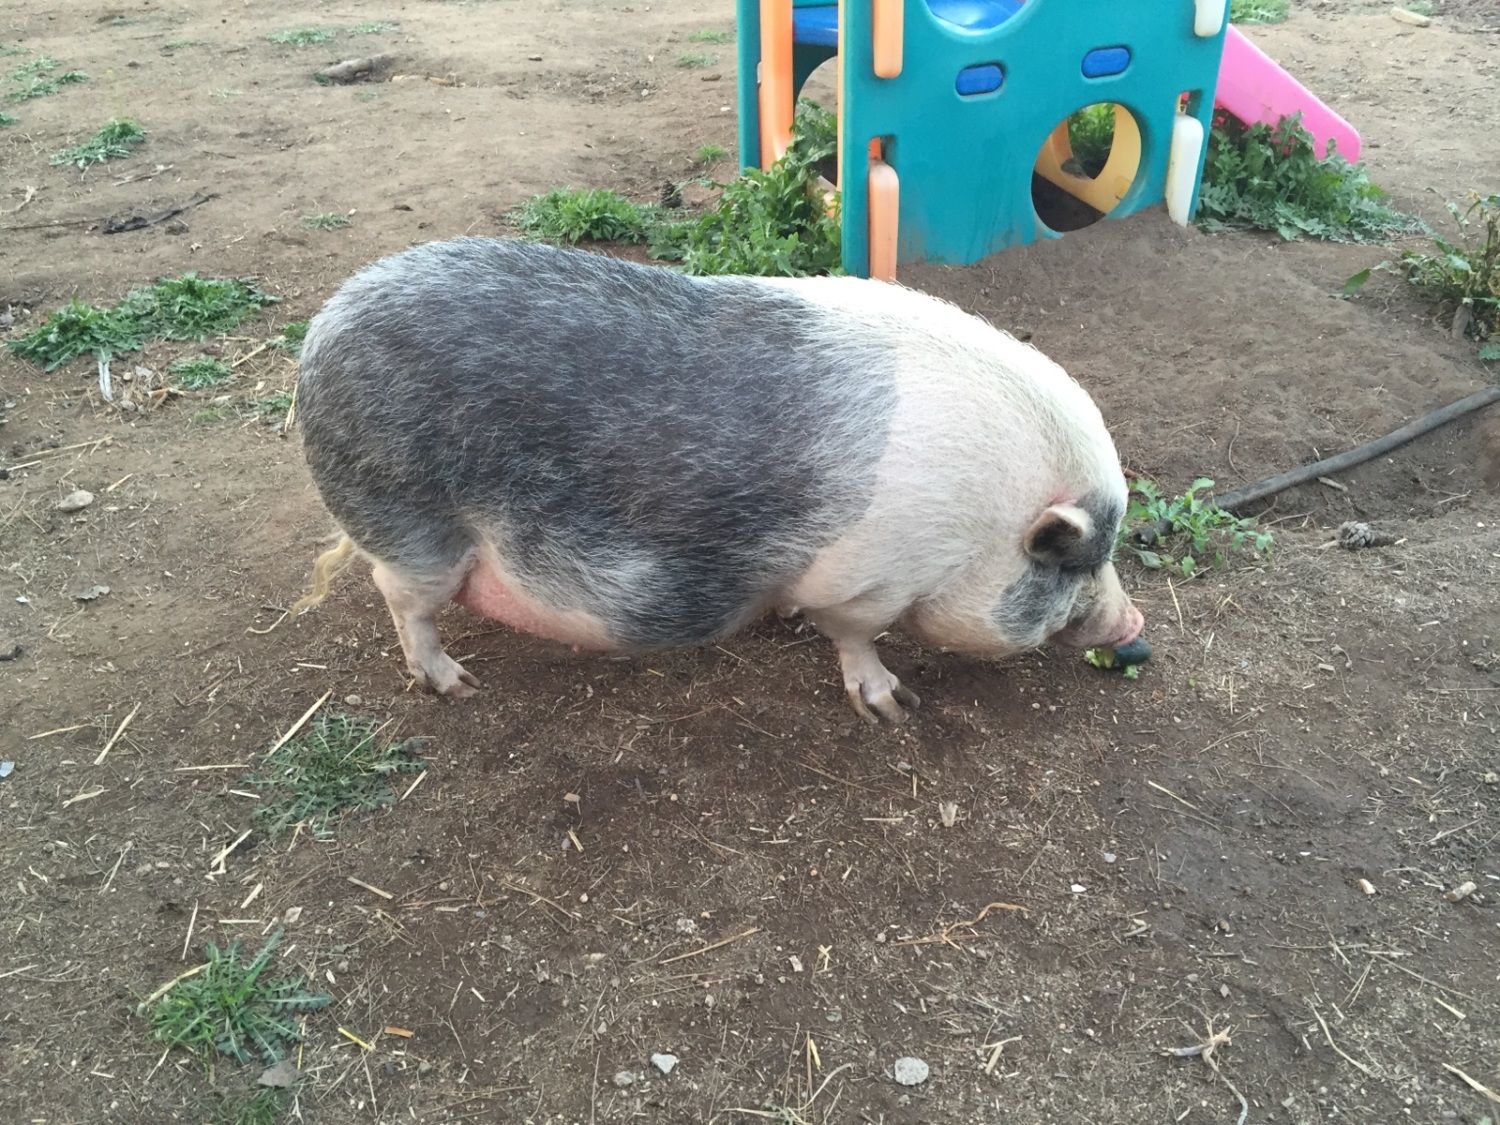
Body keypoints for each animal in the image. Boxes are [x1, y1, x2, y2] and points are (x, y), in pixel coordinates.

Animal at [290, 237, 1143, 723]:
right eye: (1075, 564)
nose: (1133, 625)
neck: (981, 531)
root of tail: (321, 331)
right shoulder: (866, 580)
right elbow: (855, 637)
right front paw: (895, 708)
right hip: (408, 519)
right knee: (401, 599)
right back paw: (456, 685)